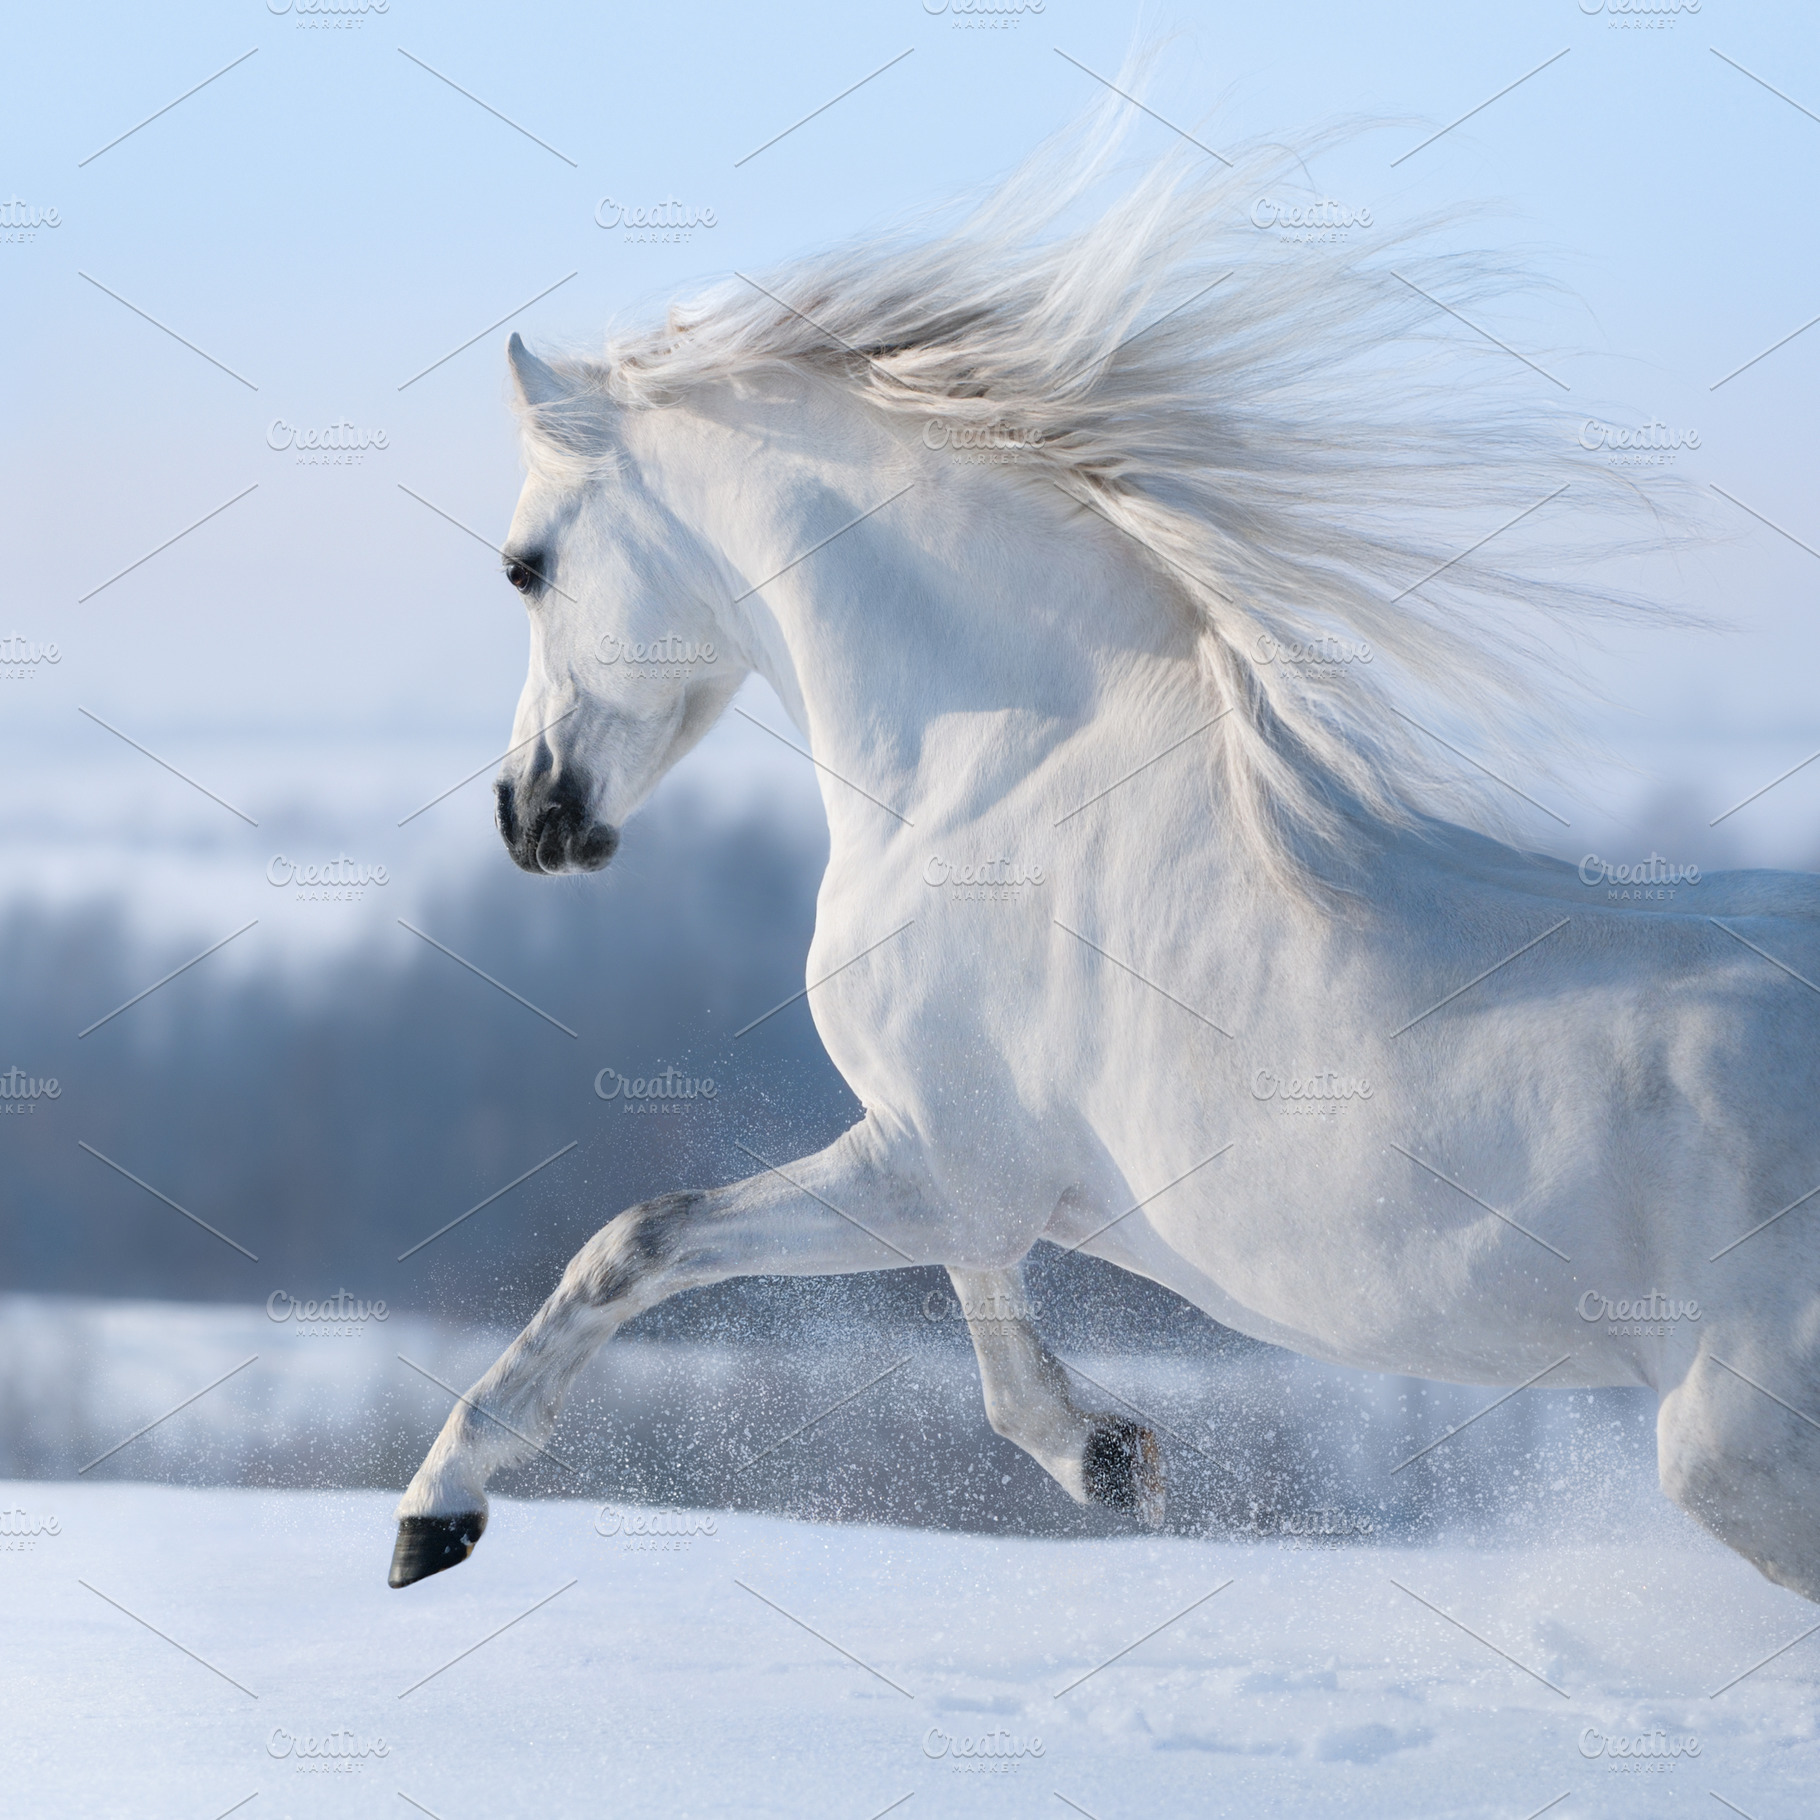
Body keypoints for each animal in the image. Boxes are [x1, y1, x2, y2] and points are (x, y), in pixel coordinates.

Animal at [389, 106, 1820, 1602]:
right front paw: (1104, 1456)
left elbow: (637, 1241)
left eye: (524, 566)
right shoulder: (960, 1169)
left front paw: (436, 1511)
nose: (529, 816)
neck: (1001, 781)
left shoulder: (932, 1163)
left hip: (1734, 1455)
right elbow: (986, 1323)